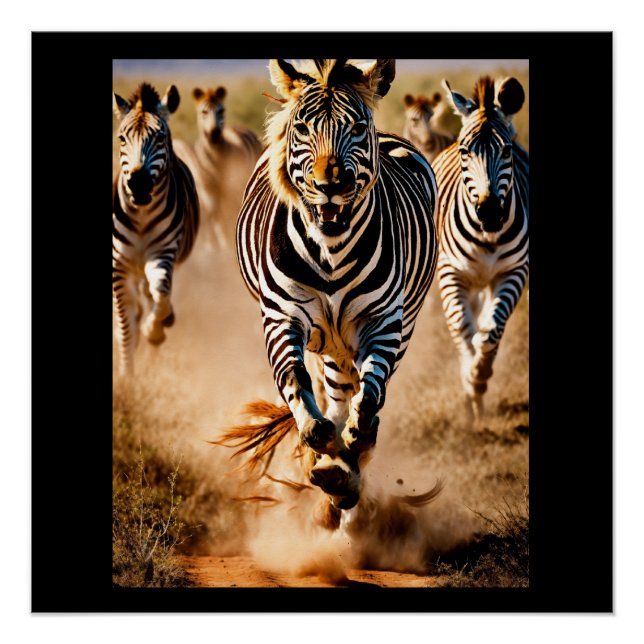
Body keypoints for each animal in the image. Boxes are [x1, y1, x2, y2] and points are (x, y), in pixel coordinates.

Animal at [112, 82, 199, 377]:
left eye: (160, 138)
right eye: (121, 138)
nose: (138, 184)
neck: (141, 215)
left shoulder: (162, 255)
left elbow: (160, 294)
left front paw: (154, 330)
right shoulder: (119, 266)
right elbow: (126, 327)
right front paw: (127, 377)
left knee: (154, 296)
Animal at [173, 86, 263, 252]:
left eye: (221, 111)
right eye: (203, 112)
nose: (214, 134)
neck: (216, 160)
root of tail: (239, 127)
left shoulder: (232, 186)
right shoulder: (208, 189)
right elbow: (213, 214)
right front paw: (217, 245)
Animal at [222, 59, 438, 518]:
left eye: (357, 126)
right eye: (303, 128)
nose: (330, 185)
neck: (332, 251)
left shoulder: (383, 322)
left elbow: (370, 399)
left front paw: (354, 445)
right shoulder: (281, 316)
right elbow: (294, 378)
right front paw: (322, 445)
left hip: (395, 326)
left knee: (358, 391)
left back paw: (349, 467)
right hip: (330, 341)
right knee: (333, 391)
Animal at [432, 76, 528, 422]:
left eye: (507, 149)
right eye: (465, 151)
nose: (488, 212)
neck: (487, 235)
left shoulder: (514, 271)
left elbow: (491, 330)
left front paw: (480, 376)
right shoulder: (450, 272)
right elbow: (463, 327)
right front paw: (469, 379)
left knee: (486, 324)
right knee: (466, 324)